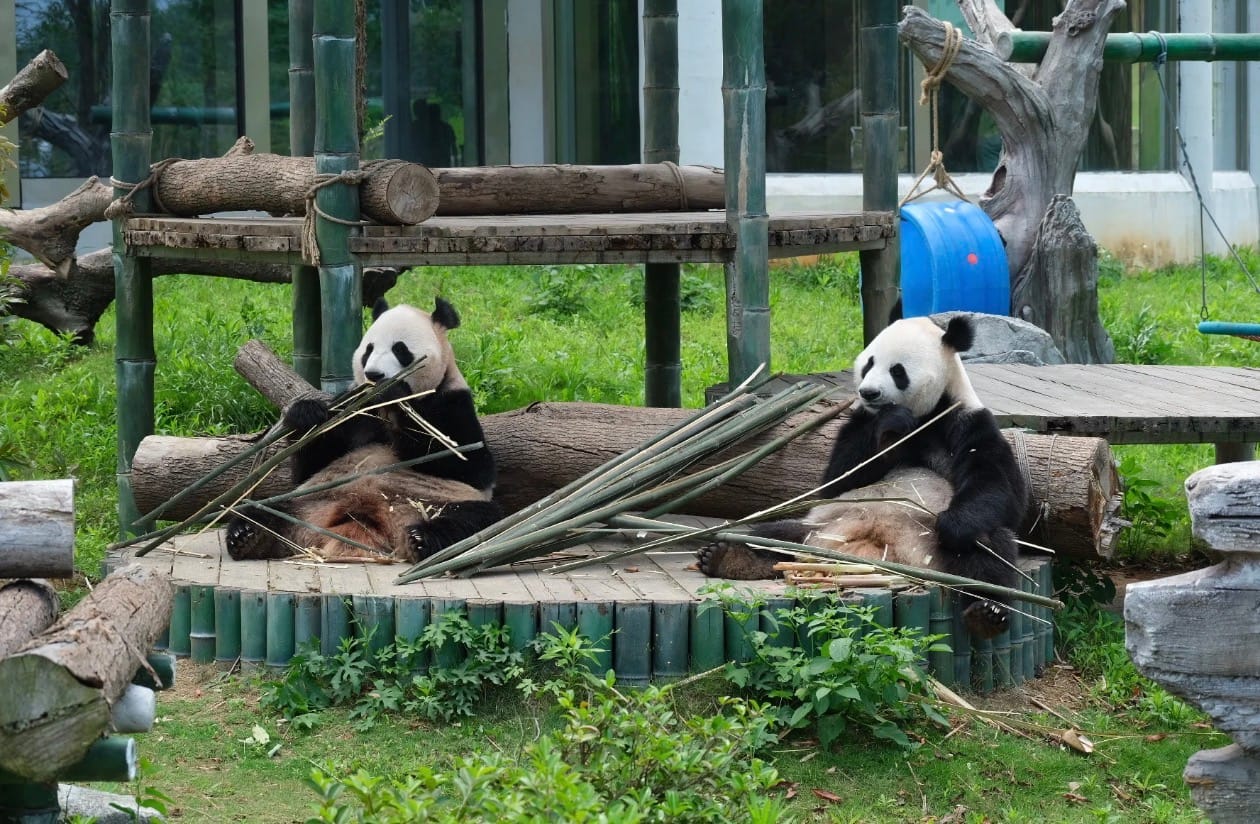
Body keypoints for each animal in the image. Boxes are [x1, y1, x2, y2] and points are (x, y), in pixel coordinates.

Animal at [225, 297, 501, 563]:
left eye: (400, 349)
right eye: (368, 350)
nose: (374, 374)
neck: (380, 408)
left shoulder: (453, 403)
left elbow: (469, 465)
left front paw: (395, 395)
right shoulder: (353, 408)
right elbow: (311, 466)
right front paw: (306, 415)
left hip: (438, 503)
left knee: (474, 519)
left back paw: (421, 539)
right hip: (309, 500)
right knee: (263, 509)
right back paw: (248, 536)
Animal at [697, 315, 1029, 639]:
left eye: (897, 370)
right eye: (869, 363)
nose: (868, 392)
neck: (924, 416)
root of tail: (878, 555)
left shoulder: (966, 421)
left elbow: (1000, 488)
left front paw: (954, 524)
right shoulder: (861, 421)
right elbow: (838, 479)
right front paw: (891, 422)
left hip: (939, 552)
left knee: (988, 550)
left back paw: (986, 613)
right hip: (815, 531)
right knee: (769, 536)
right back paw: (727, 557)